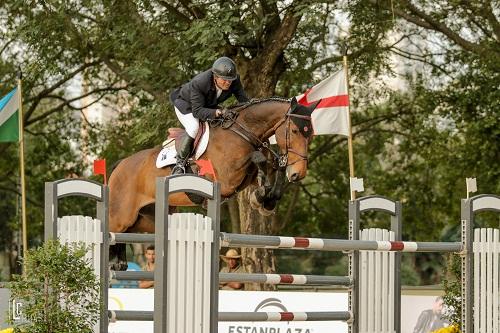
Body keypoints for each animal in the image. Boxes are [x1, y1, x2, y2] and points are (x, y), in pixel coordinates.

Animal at [108, 96, 320, 268]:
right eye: (295, 130)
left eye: (310, 134)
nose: (299, 174)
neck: (243, 132)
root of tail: (120, 166)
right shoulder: (226, 179)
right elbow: (257, 158)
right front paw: (261, 195)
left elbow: (272, 168)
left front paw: (265, 199)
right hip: (121, 216)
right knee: (111, 231)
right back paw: (113, 264)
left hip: (145, 219)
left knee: (124, 234)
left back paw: (119, 263)